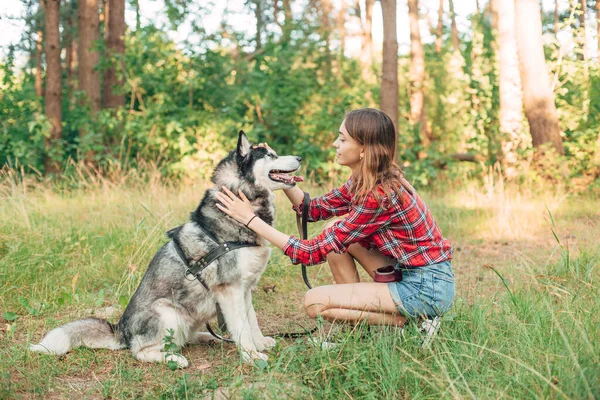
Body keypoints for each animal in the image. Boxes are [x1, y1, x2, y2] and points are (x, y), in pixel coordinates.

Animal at [29, 132, 302, 368]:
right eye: (271, 156)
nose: (299, 158)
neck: (240, 202)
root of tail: (121, 330)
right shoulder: (231, 290)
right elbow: (243, 328)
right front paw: (251, 356)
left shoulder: (245, 289)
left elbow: (251, 321)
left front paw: (260, 344)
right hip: (167, 313)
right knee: (141, 351)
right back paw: (174, 359)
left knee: (184, 339)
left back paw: (209, 338)